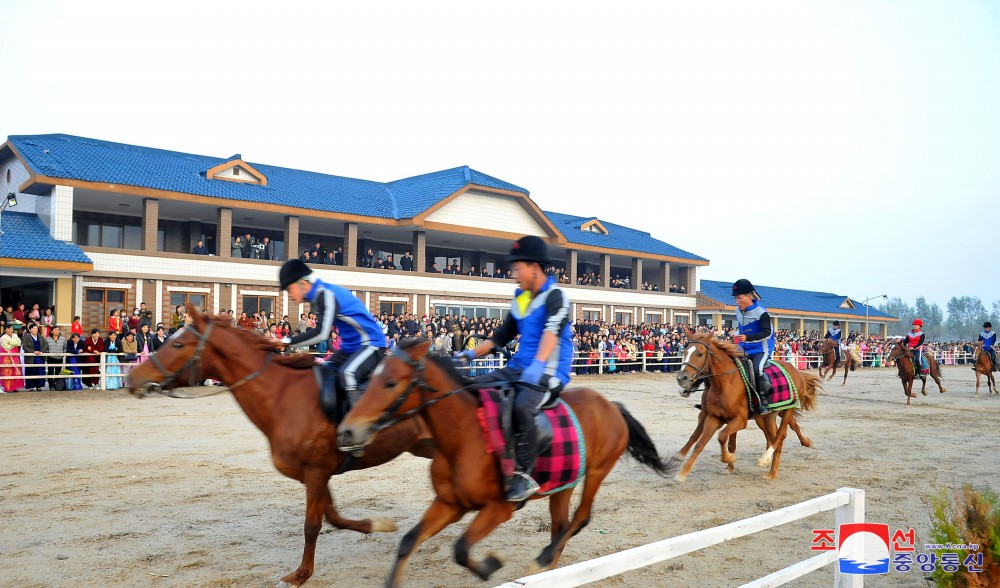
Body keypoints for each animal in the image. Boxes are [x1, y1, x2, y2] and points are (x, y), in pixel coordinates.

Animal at [124, 310, 434, 584]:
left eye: (178, 344)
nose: (132, 378)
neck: (282, 397)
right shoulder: (316, 474)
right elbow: (333, 517)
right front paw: (377, 524)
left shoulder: (316, 472)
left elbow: (312, 526)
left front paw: (300, 574)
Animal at [338, 338, 680, 584]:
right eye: (370, 379)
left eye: (391, 383)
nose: (347, 430)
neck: (464, 437)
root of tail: (611, 405)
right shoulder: (449, 504)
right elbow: (409, 541)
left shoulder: (498, 509)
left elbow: (461, 549)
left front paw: (491, 565)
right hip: (564, 482)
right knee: (561, 525)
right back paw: (550, 568)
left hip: (597, 471)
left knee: (580, 518)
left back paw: (543, 560)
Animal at [672, 328, 820, 480]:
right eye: (684, 352)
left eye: (700, 354)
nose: (682, 379)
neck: (724, 384)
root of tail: (797, 372)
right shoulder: (713, 417)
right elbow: (701, 442)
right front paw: (682, 471)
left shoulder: (739, 420)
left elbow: (722, 437)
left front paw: (730, 459)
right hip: (768, 416)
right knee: (776, 435)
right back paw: (773, 468)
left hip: (786, 409)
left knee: (782, 434)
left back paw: (768, 461)